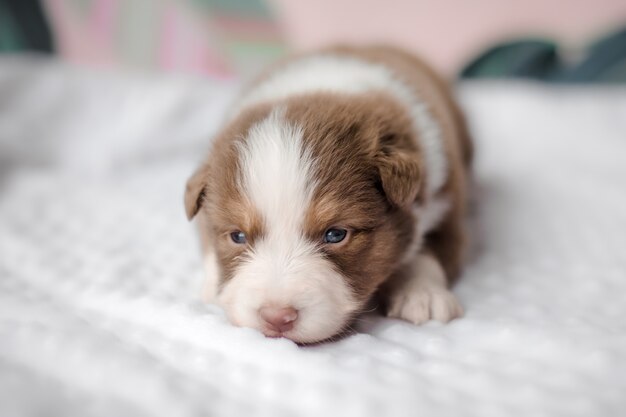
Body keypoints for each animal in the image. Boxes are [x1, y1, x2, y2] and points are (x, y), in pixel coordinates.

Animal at [183, 46, 470, 344]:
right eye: (237, 236)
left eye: (335, 234)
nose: (277, 317)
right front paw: (214, 285)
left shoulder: (446, 196)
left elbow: (428, 247)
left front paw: (422, 294)